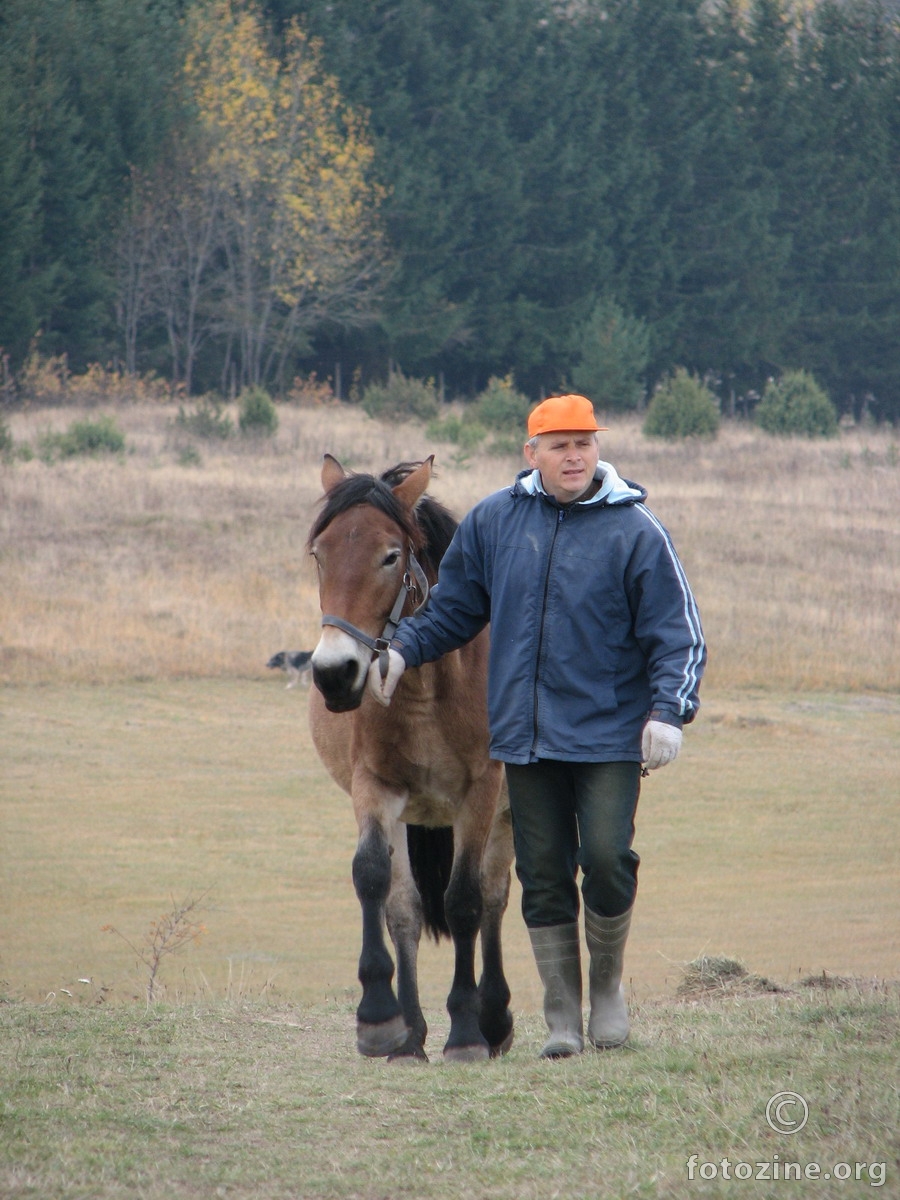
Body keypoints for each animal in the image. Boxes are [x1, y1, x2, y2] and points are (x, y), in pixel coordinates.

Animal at [307, 453, 513, 1065]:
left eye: (390, 555)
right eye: (320, 554)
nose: (335, 673)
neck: (424, 686)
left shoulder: (480, 795)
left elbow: (466, 899)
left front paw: (466, 1031)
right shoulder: (375, 787)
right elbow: (375, 881)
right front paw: (380, 1018)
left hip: (506, 815)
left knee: (494, 899)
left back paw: (493, 1020)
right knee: (406, 908)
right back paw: (413, 1034)